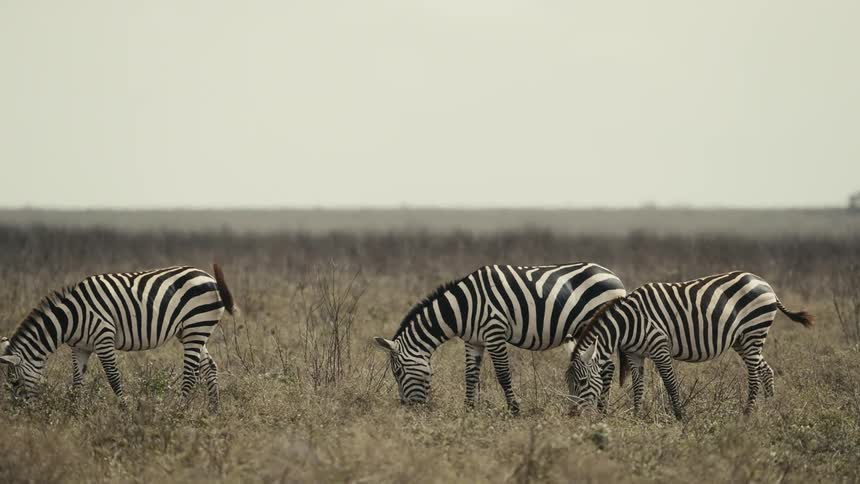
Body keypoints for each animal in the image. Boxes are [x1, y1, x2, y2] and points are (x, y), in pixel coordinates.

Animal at [0, 264, 236, 412]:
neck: (71, 317)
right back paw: (213, 410)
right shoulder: (80, 347)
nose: (22, 414)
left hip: (197, 326)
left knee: (190, 374)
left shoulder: (103, 337)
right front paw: (74, 410)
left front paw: (125, 409)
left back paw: (177, 411)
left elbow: (113, 377)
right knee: (210, 367)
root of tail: (210, 278)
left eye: (15, 382)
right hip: (190, 331)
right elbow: (77, 380)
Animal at [373, 263, 626, 414]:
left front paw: (515, 410)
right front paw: (469, 410)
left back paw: (602, 409)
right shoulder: (473, 340)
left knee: (607, 367)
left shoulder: (494, 332)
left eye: (397, 372)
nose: (406, 409)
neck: (464, 306)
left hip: (596, 323)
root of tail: (614, 275)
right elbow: (470, 375)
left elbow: (503, 374)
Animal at [565, 271, 813, 419]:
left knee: (754, 374)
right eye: (568, 383)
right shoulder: (635, 355)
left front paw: (680, 416)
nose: (572, 415)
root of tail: (765, 283)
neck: (628, 323)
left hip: (753, 331)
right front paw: (636, 416)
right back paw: (769, 408)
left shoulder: (660, 348)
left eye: (583, 382)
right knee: (766, 370)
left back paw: (748, 413)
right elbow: (638, 387)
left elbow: (670, 383)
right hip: (743, 339)